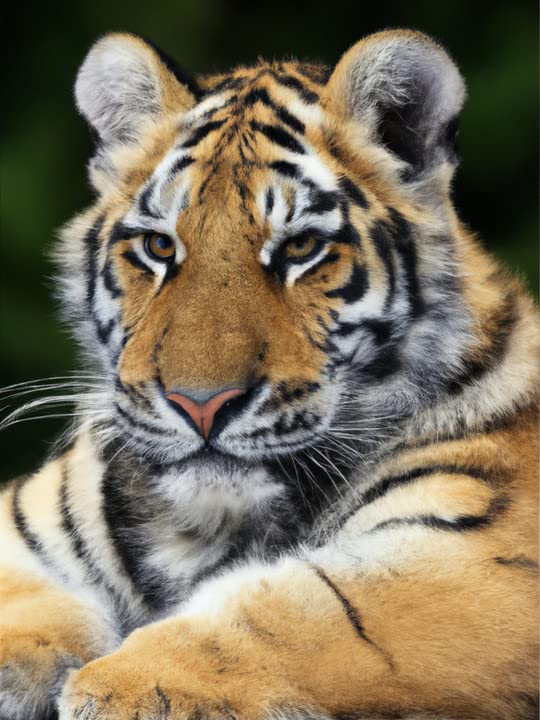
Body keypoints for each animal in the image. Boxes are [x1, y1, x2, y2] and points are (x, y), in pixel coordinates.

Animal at [0, 27, 538, 720]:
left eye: (301, 248)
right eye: (159, 246)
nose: (201, 405)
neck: (209, 531)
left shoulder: (474, 558)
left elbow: (295, 611)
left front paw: (124, 688)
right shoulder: (23, 531)